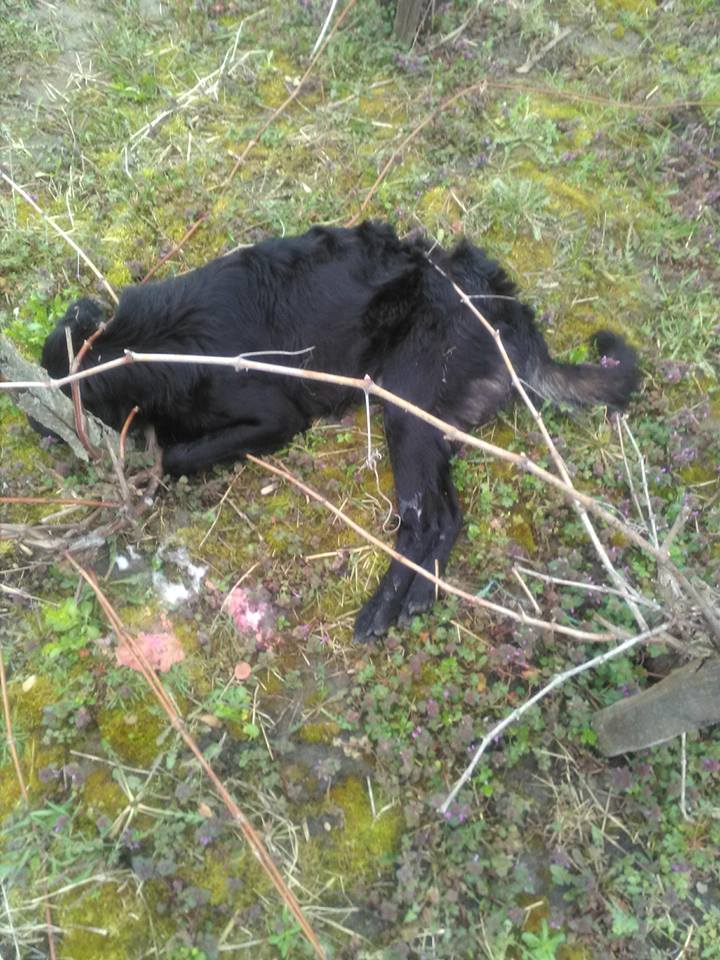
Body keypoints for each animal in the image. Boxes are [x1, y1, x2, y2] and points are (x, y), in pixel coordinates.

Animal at [37, 221, 639, 639]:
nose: (37, 430)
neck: (148, 341)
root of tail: (507, 308)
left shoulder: (276, 417)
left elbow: (180, 454)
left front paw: (157, 460)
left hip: (404, 407)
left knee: (427, 520)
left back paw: (388, 605)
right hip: (427, 423)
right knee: (448, 516)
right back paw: (419, 594)